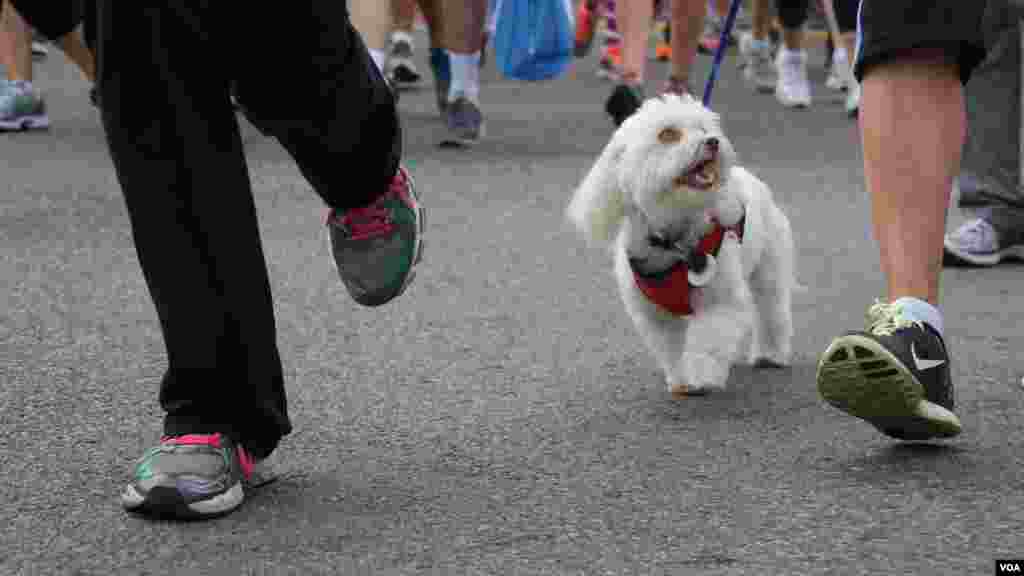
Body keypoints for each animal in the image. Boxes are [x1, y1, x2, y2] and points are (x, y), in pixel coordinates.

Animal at [565, 94, 794, 397]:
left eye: (703, 128)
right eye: (668, 134)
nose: (713, 141)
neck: (672, 239)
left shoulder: (718, 301)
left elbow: (706, 342)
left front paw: (701, 377)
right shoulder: (658, 317)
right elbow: (673, 349)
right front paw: (681, 380)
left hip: (768, 270)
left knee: (771, 311)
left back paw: (771, 354)